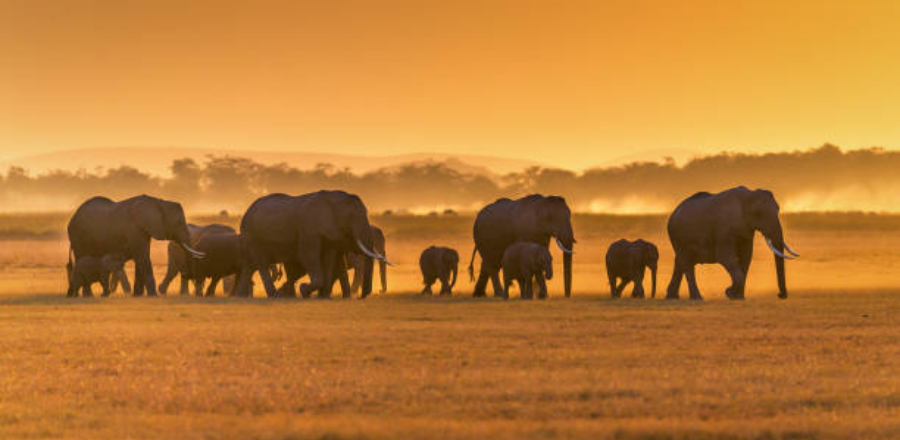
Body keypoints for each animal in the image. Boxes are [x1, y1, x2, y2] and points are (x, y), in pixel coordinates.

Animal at [67, 195, 204, 297]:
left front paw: (138, 295)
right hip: (77, 237)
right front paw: (153, 296)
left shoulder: (144, 230)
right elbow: (142, 257)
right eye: (179, 223)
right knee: (81, 259)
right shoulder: (134, 229)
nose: (188, 275)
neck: (158, 202)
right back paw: (87, 295)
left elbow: (141, 258)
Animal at [234, 190, 390, 299]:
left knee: (250, 265)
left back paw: (240, 296)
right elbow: (308, 255)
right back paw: (274, 295)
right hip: (252, 236)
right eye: (352, 216)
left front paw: (323, 296)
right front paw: (304, 291)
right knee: (261, 263)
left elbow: (329, 257)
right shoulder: (309, 227)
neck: (334, 198)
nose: (362, 296)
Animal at [666, 186, 800, 300]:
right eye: (758, 213)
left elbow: (746, 257)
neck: (748, 196)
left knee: (679, 262)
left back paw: (672, 297)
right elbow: (725, 256)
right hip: (677, 235)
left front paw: (737, 297)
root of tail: (674, 212)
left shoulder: (746, 232)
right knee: (687, 264)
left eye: (778, 210)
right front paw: (729, 292)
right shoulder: (724, 229)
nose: (781, 295)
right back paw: (697, 298)